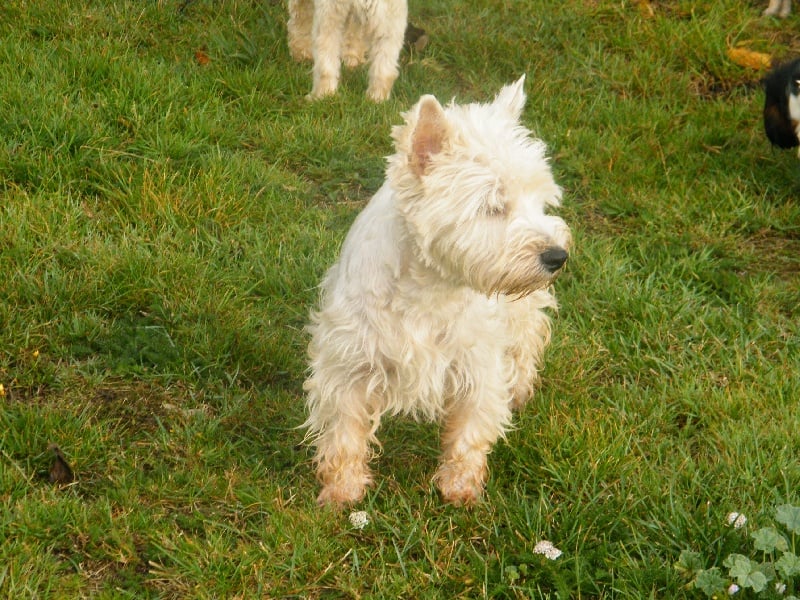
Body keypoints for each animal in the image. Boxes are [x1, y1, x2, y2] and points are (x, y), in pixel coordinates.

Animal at [303, 77, 572, 506]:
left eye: (540, 202)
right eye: (493, 206)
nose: (557, 256)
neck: (428, 286)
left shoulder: (477, 361)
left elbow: (471, 430)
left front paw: (459, 486)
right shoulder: (349, 361)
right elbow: (344, 431)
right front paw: (342, 491)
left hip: (521, 309)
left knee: (526, 344)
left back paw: (520, 390)